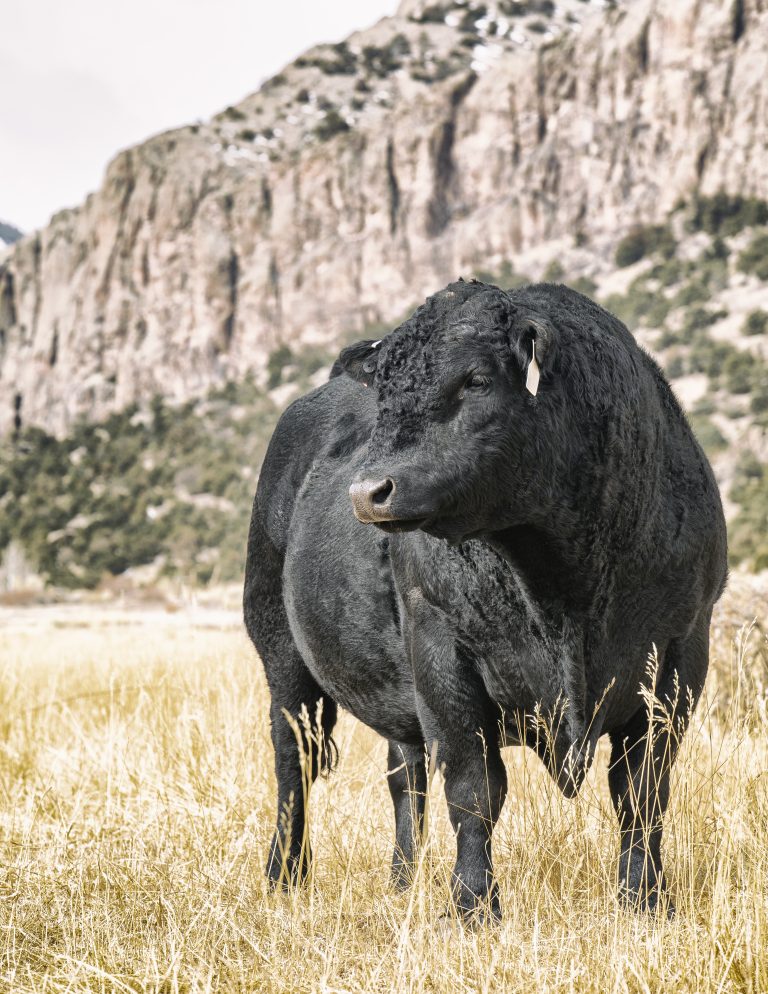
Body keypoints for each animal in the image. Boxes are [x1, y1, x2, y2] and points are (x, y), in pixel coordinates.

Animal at [243, 279, 727, 923]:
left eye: (475, 379)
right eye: (388, 388)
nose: (369, 491)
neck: (563, 589)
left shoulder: (679, 654)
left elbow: (642, 791)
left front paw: (646, 900)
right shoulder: (441, 650)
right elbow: (475, 786)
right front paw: (474, 905)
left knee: (405, 773)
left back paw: (403, 883)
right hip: (280, 650)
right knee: (292, 760)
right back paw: (284, 878)